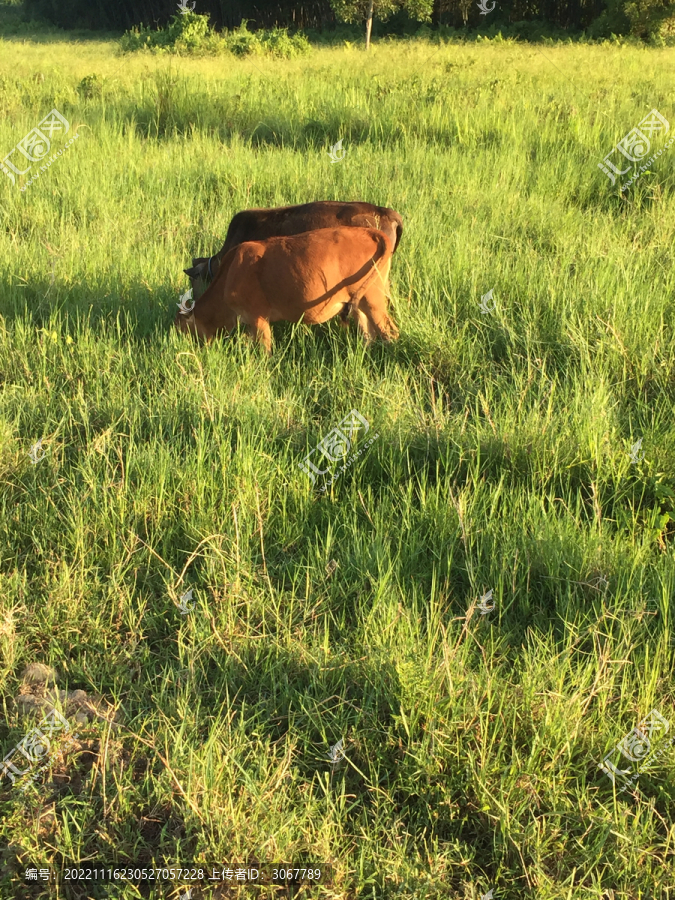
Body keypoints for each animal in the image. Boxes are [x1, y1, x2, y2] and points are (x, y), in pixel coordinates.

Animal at [174, 227, 398, 356]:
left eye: (182, 328)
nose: (182, 346)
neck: (230, 273)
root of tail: (370, 232)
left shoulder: (258, 318)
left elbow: (265, 351)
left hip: (374, 301)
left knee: (390, 333)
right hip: (360, 305)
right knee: (368, 334)